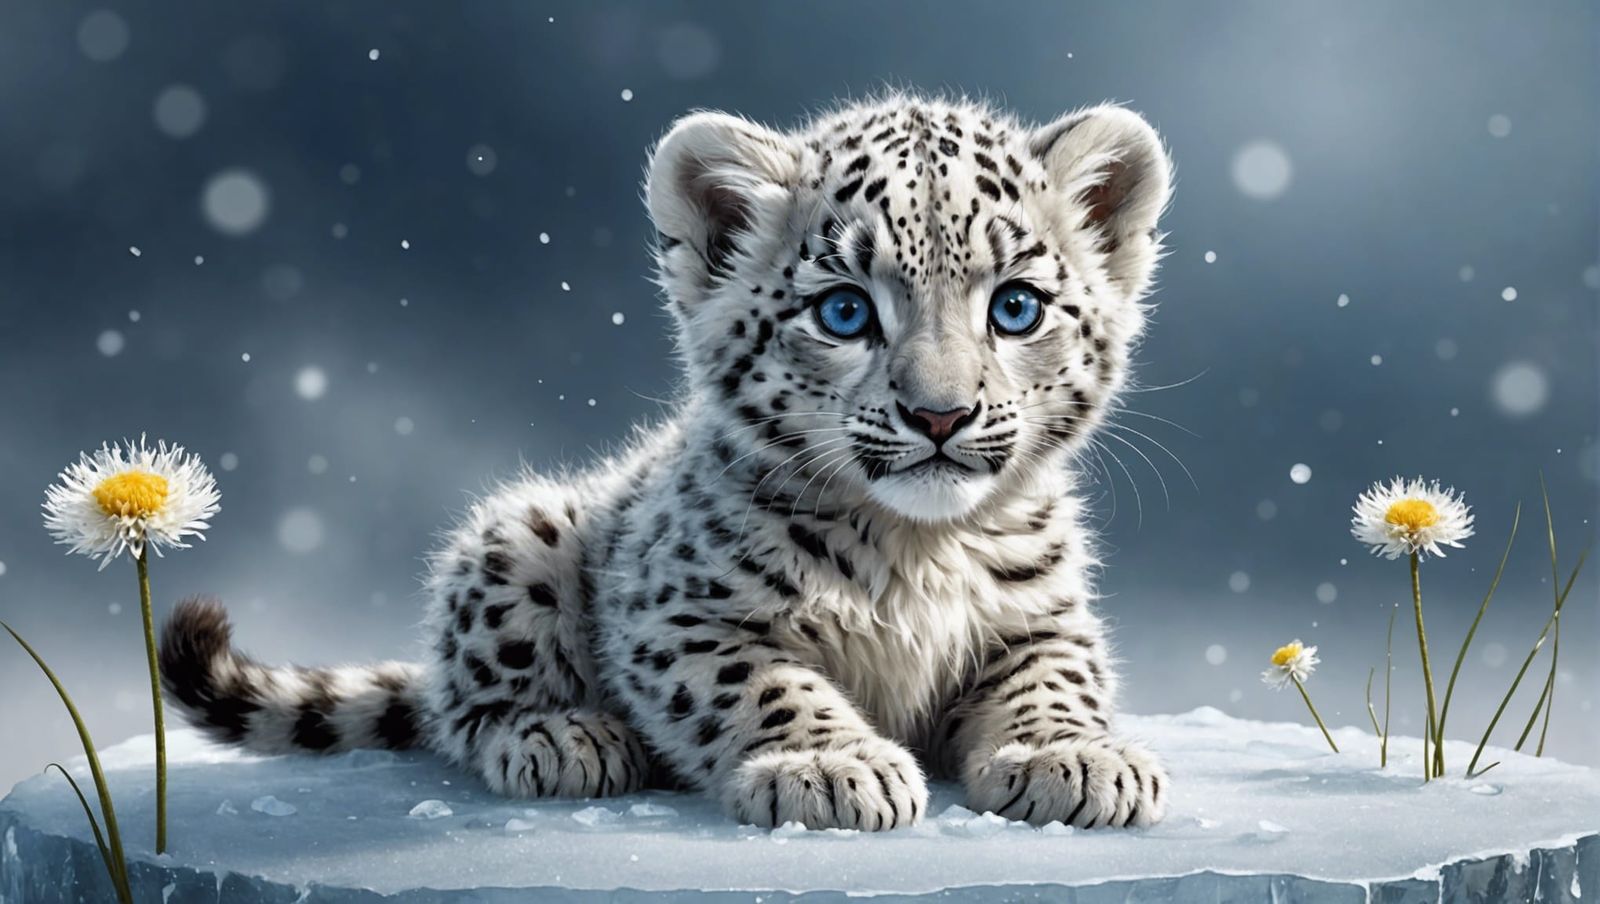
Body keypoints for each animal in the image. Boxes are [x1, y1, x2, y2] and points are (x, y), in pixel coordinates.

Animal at [161, 92, 1175, 831]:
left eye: (1016, 307)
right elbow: (763, 684)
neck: (916, 545)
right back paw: (562, 736)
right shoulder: (678, 617)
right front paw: (832, 765)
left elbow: (1055, 680)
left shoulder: (1044, 616)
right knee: (466, 705)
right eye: (845, 310)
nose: (939, 414)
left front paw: (1072, 758)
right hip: (521, 534)